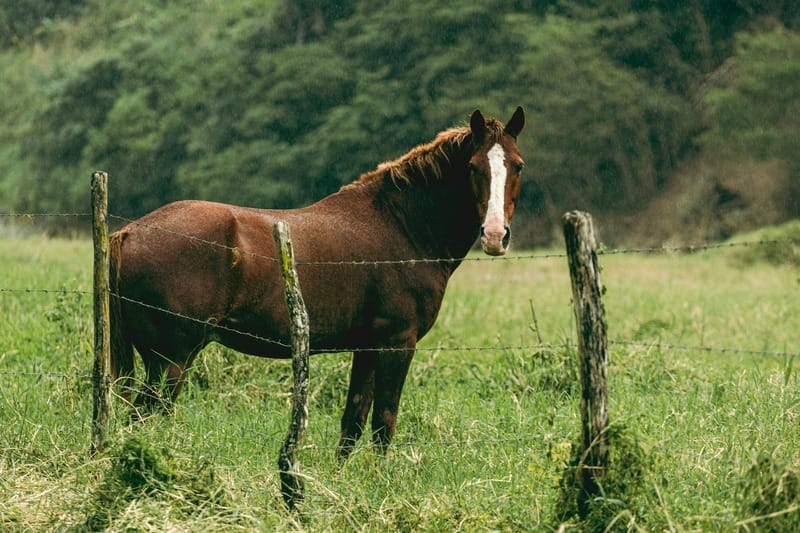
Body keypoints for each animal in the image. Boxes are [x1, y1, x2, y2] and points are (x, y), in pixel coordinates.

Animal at [109, 107, 525, 458]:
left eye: (518, 166)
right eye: (472, 167)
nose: (494, 235)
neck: (401, 226)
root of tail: (129, 232)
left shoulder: (367, 347)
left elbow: (353, 421)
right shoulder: (396, 343)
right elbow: (383, 423)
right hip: (171, 362)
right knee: (145, 417)